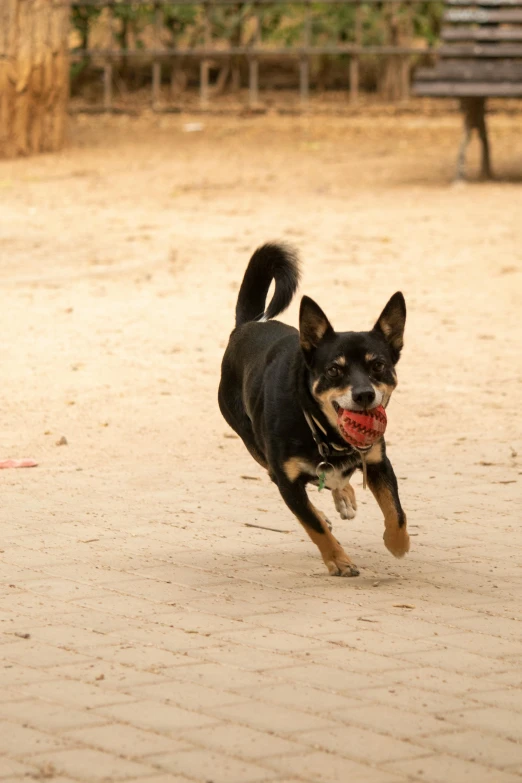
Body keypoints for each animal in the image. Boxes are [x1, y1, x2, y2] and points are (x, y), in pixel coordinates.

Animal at [217, 243, 408, 576]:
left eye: (378, 366)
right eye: (333, 370)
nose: (364, 395)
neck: (323, 432)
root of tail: (248, 324)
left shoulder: (378, 462)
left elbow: (396, 512)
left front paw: (397, 543)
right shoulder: (287, 482)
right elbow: (314, 525)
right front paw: (339, 561)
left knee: (338, 480)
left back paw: (344, 495)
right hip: (255, 446)